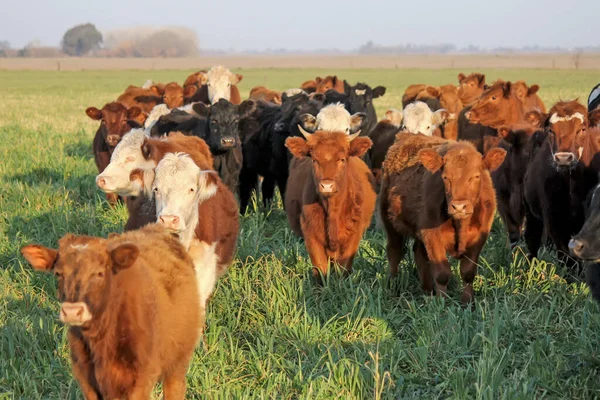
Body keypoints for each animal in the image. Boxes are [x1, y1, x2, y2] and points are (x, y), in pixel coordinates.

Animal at [21, 225, 200, 400]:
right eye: (58, 273)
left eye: (99, 273)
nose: (72, 311)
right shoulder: (86, 379)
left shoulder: (141, 379)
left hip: (178, 362)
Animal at [282, 130, 376, 280]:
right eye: (314, 160)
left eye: (342, 159)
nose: (326, 186)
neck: (333, 210)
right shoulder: (311, 235)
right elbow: (320, 270)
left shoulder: (353, 236)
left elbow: (343, 269)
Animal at [380, 133, 506, 304]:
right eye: (446, 178)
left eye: (476, 176)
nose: (459, 206)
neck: (460, 225)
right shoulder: (432, 237)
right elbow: (442, 273)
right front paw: (442, 303)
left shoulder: (479, 237)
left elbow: (468, 272)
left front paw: (467, 302)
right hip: (389, 222)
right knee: (394, 252)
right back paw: (392, 287)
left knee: (419, 254)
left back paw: (427, 291)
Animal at [520, 99, 596, 272]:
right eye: (551, 131)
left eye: (582, 129)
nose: (563, 158)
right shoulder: (554, 220)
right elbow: (567, 257)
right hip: (531, 214)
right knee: (532, 240)